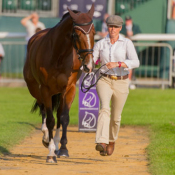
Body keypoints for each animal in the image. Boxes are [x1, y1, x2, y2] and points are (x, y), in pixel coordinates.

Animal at [23, 4, 95, 163]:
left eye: (93, 32)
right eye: (76, 35)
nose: (88, 65)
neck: (59, 55)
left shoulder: (69, 89)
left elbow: (64, 118)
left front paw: (62, 149)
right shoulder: (45, 89)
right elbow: (50, 119)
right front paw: (50, 153)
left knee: (58, 114)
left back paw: (55, 144)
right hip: (34, 88)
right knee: (43, 108)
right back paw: (46, 137)